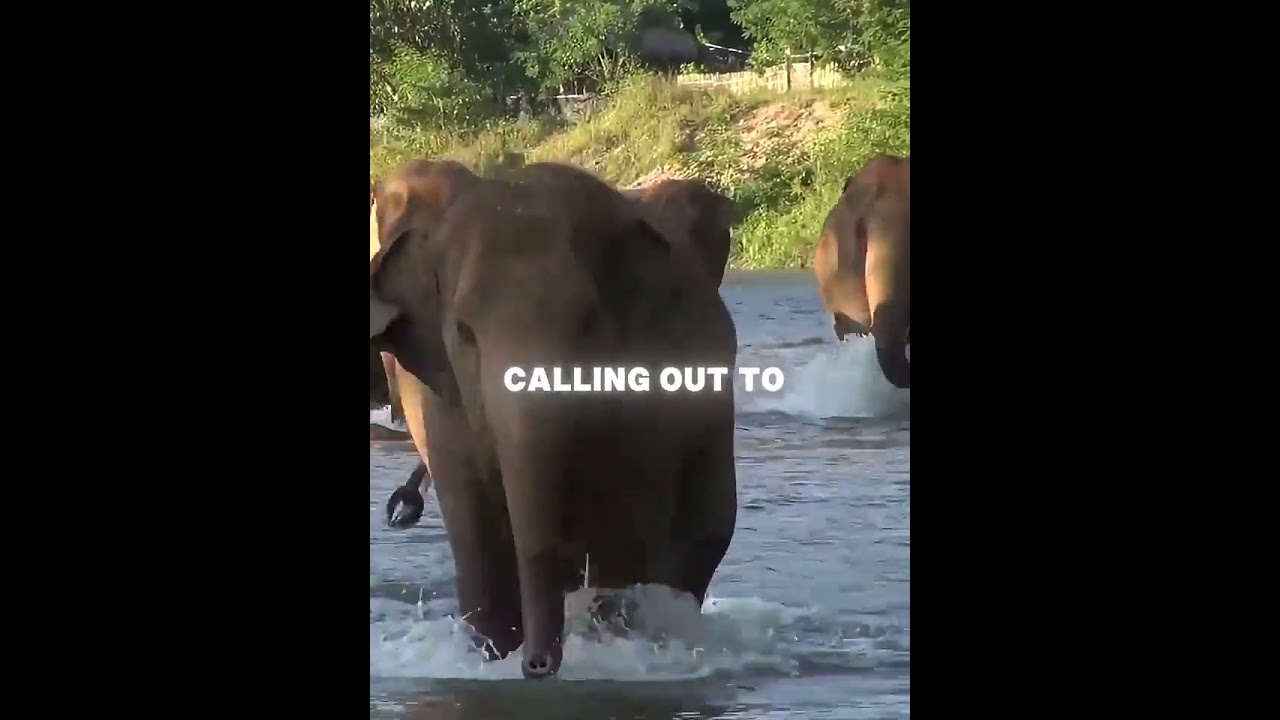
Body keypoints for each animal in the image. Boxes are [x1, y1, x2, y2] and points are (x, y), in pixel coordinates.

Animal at [368, 159, 739, 679]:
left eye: (589, 323)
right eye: (465, 333)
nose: (538, 665)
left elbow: (628, 517)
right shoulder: (438, 392)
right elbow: (473, 519)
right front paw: (493, 657)